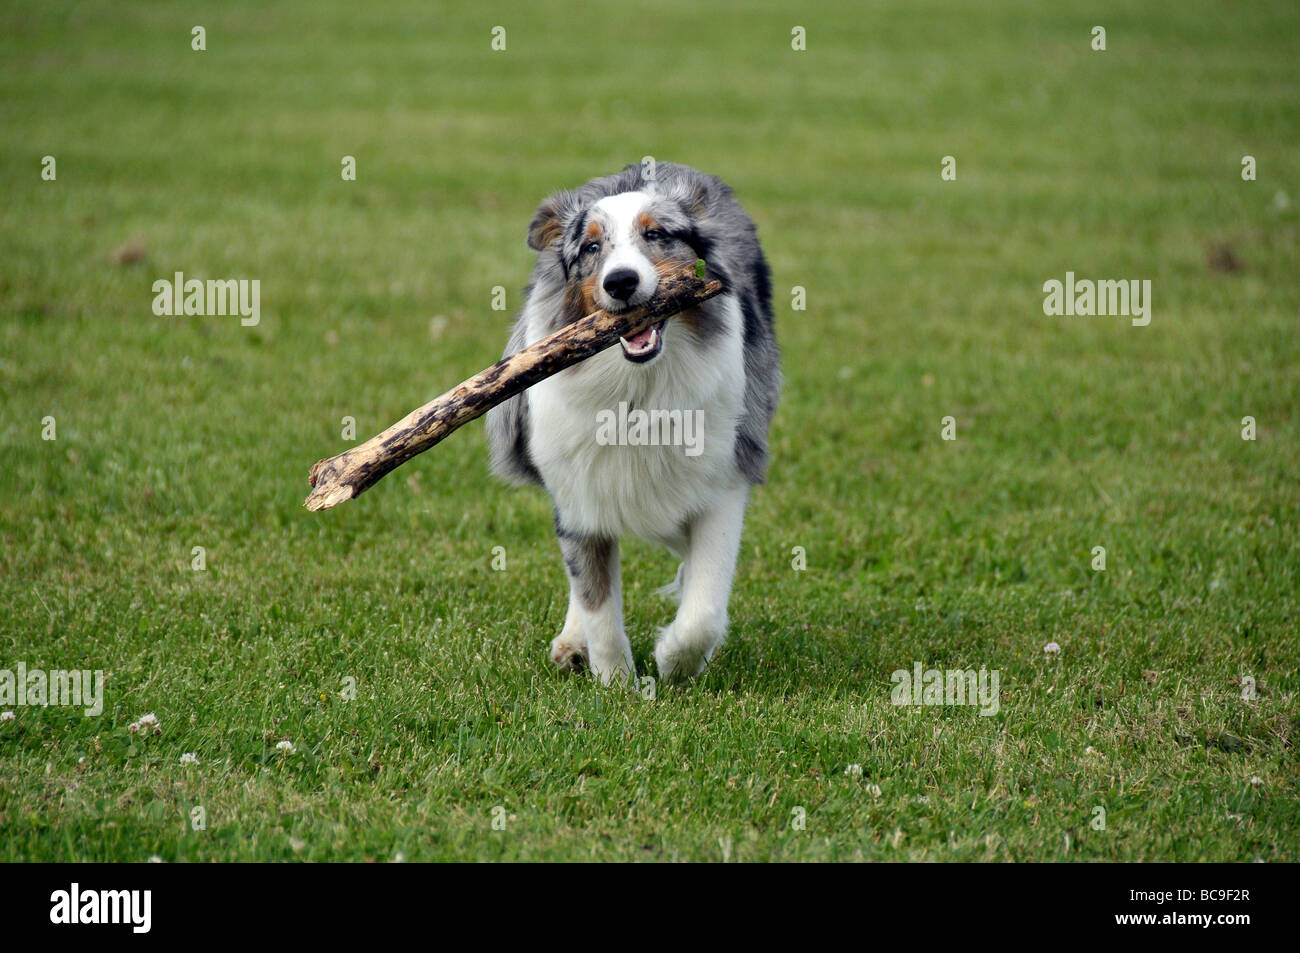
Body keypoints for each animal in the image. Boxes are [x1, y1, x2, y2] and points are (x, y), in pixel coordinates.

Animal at [486, 163, 769, 686]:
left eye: (656, 234)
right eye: (591, 248)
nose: (620, 282)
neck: (636, 391)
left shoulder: (724, 478)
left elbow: (703, 607)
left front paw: (673, 660)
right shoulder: (578, 487)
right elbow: (596, 600)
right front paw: (616, 685)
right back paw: (573, 643)